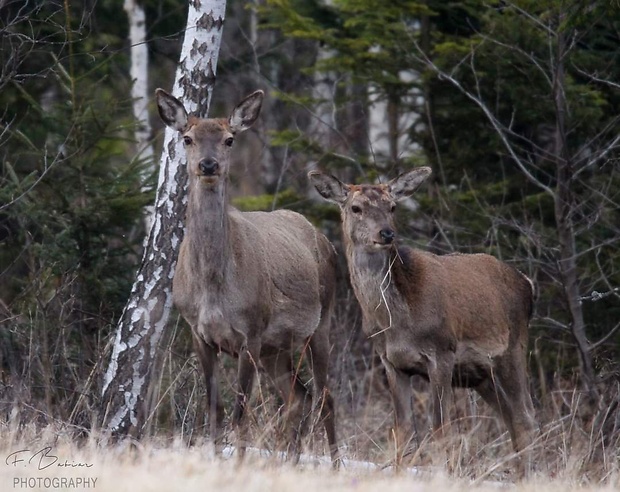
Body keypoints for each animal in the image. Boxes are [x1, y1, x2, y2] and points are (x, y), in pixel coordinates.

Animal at [155, 88, 340, 466]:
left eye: (229, 139)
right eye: (187, 138)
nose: (208, 165)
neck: (213, 286)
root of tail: (324, 239)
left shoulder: (250, 333)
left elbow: (241, 412)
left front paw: (238, 464)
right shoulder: (198, 332)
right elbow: (214, 409)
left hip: (322, 321)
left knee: (326, 396)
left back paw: (334, 465)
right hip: (276, 348)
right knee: (299, 395)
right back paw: (290, 461)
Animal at [310, 167, 536, 474]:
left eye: (392, 207)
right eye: (356, 208)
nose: (387, 233)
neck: (396, 321)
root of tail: (528, 284)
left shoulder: (442, 352)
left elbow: (441, 429)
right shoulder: (391, 362)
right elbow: (403, 430)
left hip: (512, 351)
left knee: (525, 418)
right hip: (481, 374)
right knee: (512, 419)